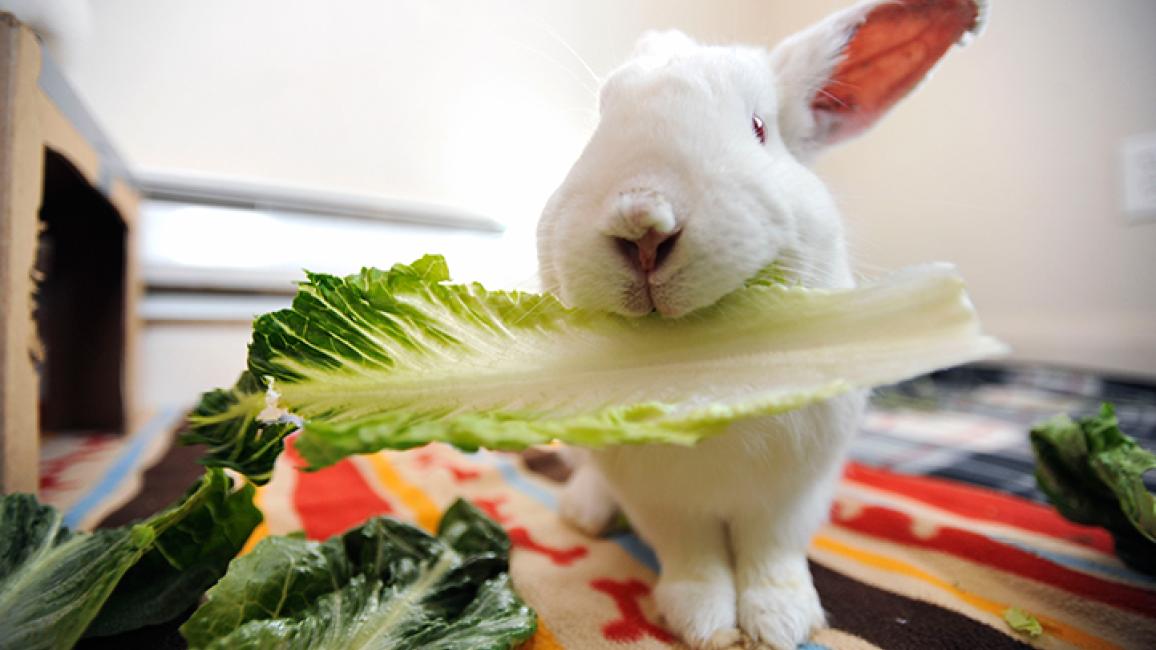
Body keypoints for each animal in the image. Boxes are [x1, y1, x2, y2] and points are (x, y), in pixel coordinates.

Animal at [535, 1, 987, 648]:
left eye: (758, 128)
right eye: (600, 125)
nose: (642, 221)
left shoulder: (793, 493)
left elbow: (772, 552)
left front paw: (780, 621)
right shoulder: (663, 501)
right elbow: (692, 557)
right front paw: (703, 622)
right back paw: (585, 513)